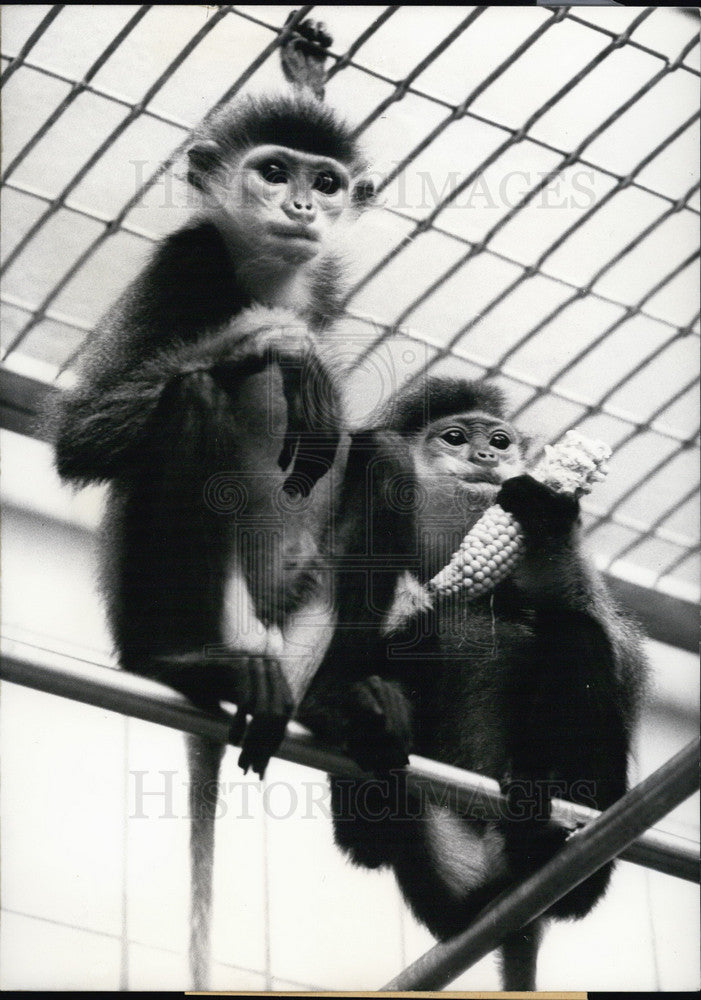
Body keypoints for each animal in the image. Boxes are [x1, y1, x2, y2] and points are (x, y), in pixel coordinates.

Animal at [47, 17, 378, 992]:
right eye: (272, 170)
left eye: (325, 182)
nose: (301, 208)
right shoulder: (184, 260)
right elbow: (80, 439)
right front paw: (272, 343)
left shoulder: (327, 279)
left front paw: (306, 67)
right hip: (168, 599)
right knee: (194, 397)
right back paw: (183, 662)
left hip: (289, 602)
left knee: (361, 467)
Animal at [300, 376, 644, 992]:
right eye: (455, 437)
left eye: (500, 440)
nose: (486, 456)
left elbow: (611, 645)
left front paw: (552, 517)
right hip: (437, 861)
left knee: (576, 634)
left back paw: (545, 818)